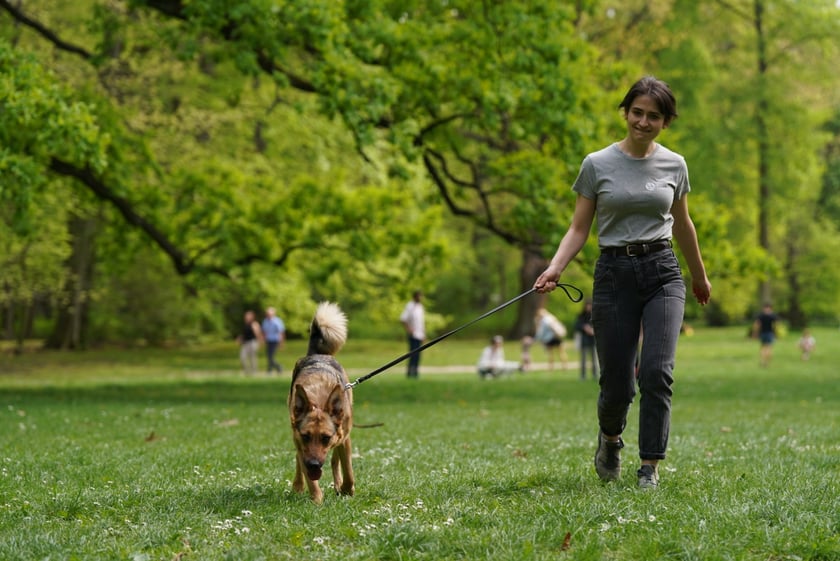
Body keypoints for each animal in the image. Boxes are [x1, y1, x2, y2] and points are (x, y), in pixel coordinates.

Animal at [288, 302, 354, 504]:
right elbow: (310, 477)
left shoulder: (344, 439)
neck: (318, 400)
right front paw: (317, 501)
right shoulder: (299, 441)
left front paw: (347, 489)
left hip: (341, 438)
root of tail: (317, 354)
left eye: (325, 437)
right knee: (299, 461)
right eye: (306, 436)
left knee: (335, 461)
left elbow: (349, 471)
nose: (314, 464)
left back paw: (339, 485)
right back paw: (298, 486)